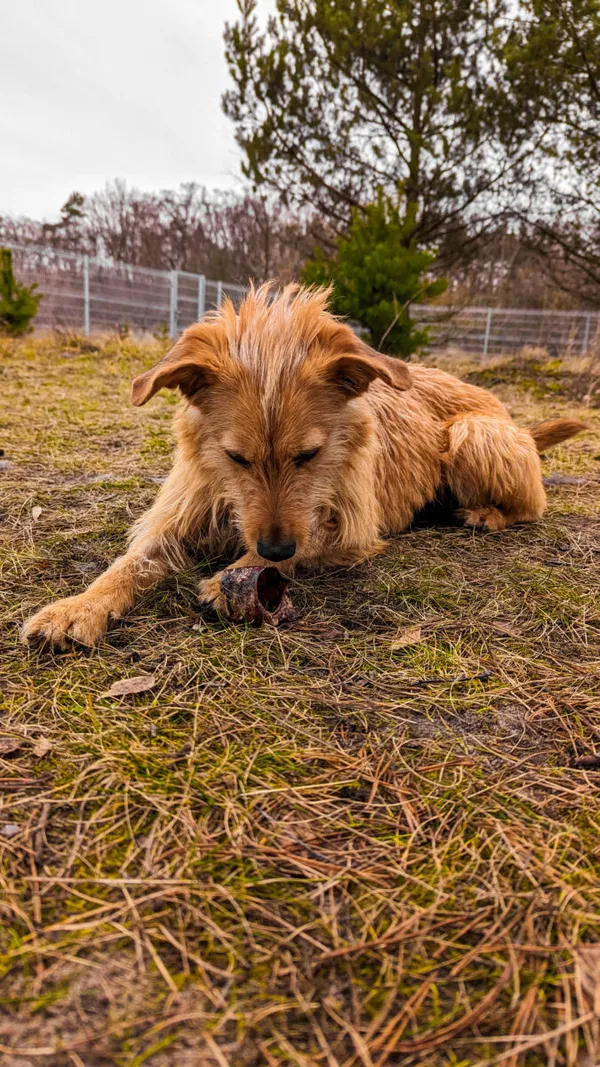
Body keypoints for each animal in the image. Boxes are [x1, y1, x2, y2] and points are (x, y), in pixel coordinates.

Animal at [23, 285, 585, 648]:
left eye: (308, 455)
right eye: (237, 458)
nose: (274, 547)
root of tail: (506, 413)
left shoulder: (350, 529)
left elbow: (303, 544)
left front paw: (235, 573)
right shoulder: (181, 511)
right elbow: (128, 563)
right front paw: (78, 607)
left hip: (476, 434)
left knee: (533, 504)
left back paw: (487, 514)